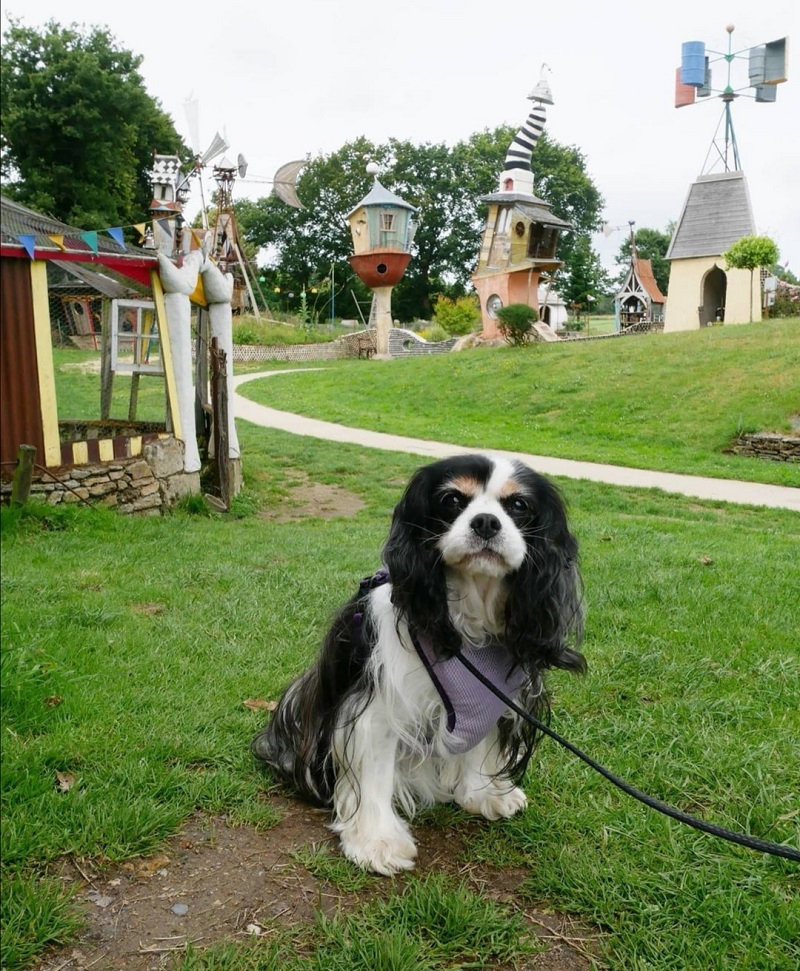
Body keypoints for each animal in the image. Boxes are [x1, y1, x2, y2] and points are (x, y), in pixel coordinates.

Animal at [253, 454, 584, 872]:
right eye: (452, 500)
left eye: (519, 505)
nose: (486, 522)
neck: (466, 621)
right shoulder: (379, 706)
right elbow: (375, 771)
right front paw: (376, 841)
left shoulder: (493, 698)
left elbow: (482, 745)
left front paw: (483, 794)